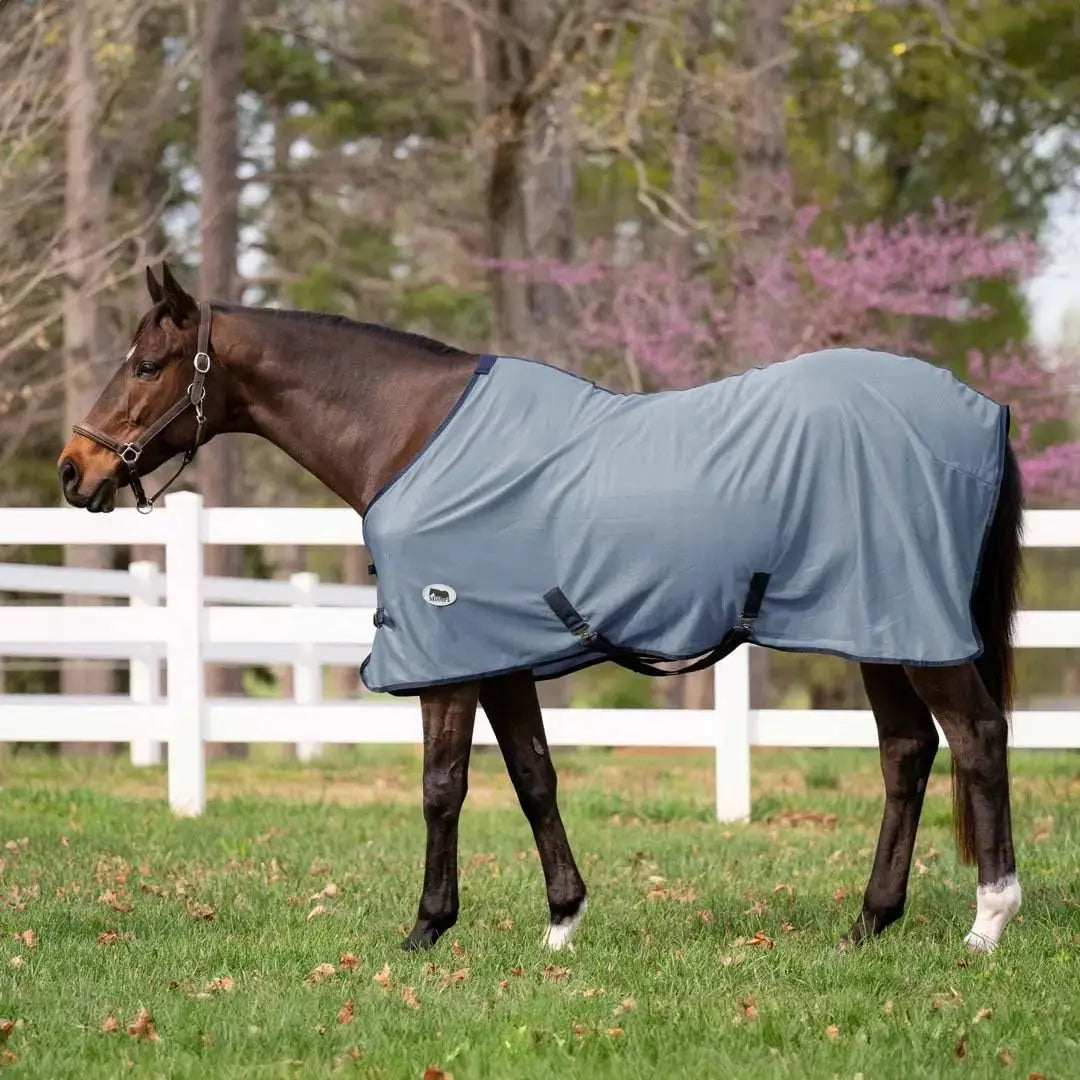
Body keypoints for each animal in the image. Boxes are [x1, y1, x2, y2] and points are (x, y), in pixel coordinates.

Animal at [57, 263, 1024, 954]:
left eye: (146, 364)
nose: (75, 469)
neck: (410, 437)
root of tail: (984, 410)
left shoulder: (448, 655)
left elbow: (442, 786)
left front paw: (425, 929)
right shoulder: (499, 654)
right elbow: (533, 777)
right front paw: (562, 920)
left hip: (916, 632)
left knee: (976, 736)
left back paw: (988, 919)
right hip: (877, 629)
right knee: (908, 752)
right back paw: (869, 922)